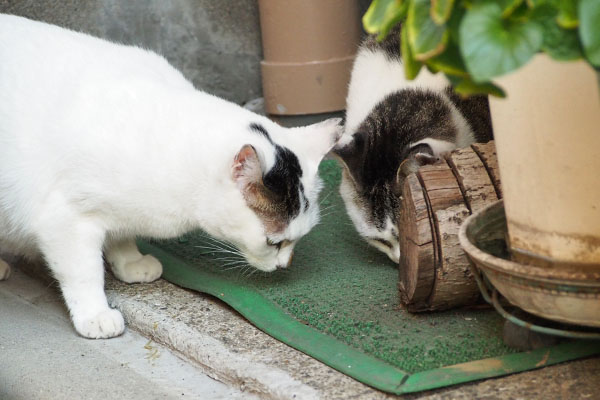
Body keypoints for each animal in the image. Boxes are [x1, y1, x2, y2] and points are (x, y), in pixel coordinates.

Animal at [0, 15, 342, 340]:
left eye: (299, 238)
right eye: (275, 242)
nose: (285, 265)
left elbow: (120, 234)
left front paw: (130, 261)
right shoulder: (64, 219)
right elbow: (84, 271)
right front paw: (95, 315)